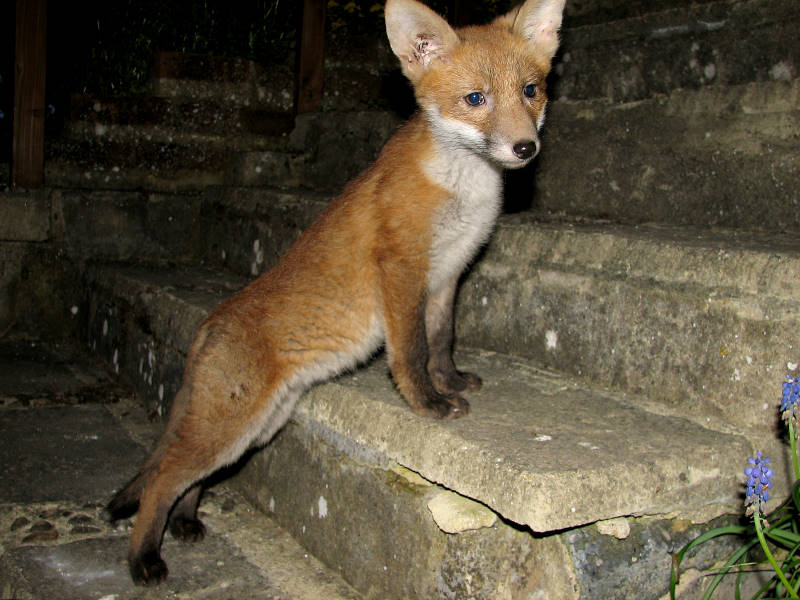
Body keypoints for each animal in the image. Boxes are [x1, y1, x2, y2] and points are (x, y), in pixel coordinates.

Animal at [108, 0, 565, 586]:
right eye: (475, 100)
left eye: (531, 90)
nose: (525, 147)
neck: (465, 188)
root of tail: (209, 323)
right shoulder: (402, 270)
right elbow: (411, 353)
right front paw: (429, 404)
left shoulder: (446, 276)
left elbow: (442, 343)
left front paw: (451, 381)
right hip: (231, 425)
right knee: (163, 478)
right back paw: (144, 558)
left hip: (254, 429)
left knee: (192, 480)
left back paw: (186, 523)